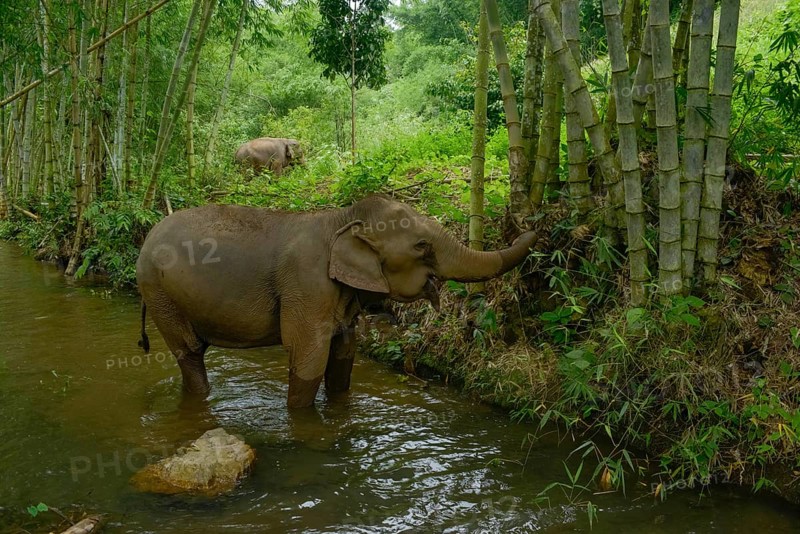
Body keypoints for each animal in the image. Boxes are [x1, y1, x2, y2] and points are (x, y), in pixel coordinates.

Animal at [135, 195, 537, 408]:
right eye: (422, 246)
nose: (529, 223)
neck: (342, 218)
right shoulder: (306, 286)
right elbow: (308, 358)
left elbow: (345, 356)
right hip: (158, 292)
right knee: (189, 352)